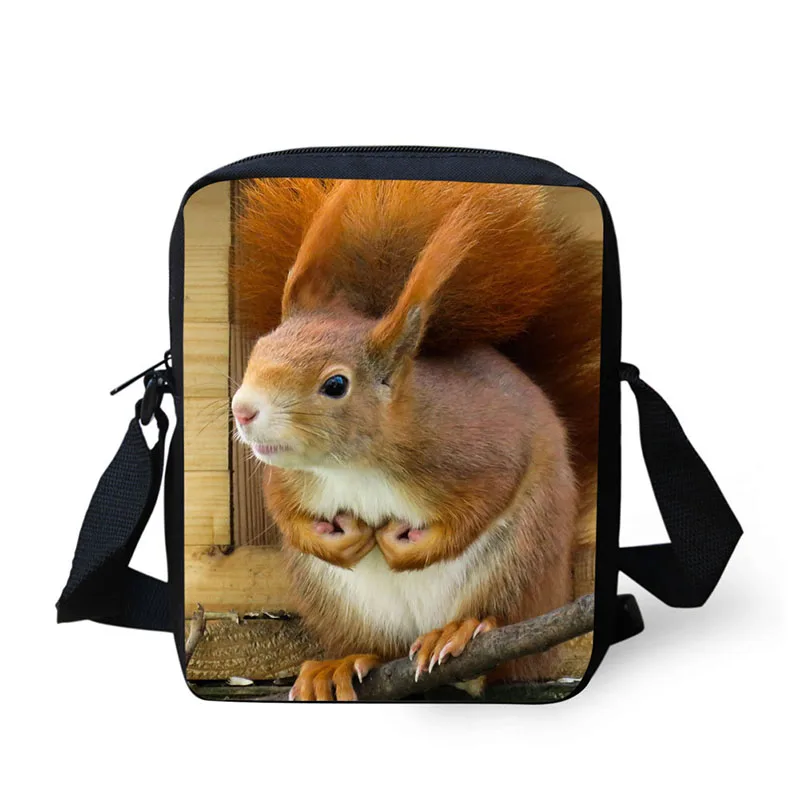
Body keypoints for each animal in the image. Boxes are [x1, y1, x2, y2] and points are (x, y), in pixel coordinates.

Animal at [231, 179, 602, 700]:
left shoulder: (481, 449)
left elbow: (484, 502)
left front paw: (406, 547)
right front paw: (335, 542)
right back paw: (339, 664)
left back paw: (458, 631)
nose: (243, 410)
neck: (353, 466)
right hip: (339, 605)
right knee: (375, 648)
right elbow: (282, 510)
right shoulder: (289, 476)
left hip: (519, 570)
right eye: (259, 348)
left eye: (336, 385)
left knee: (500, 632)